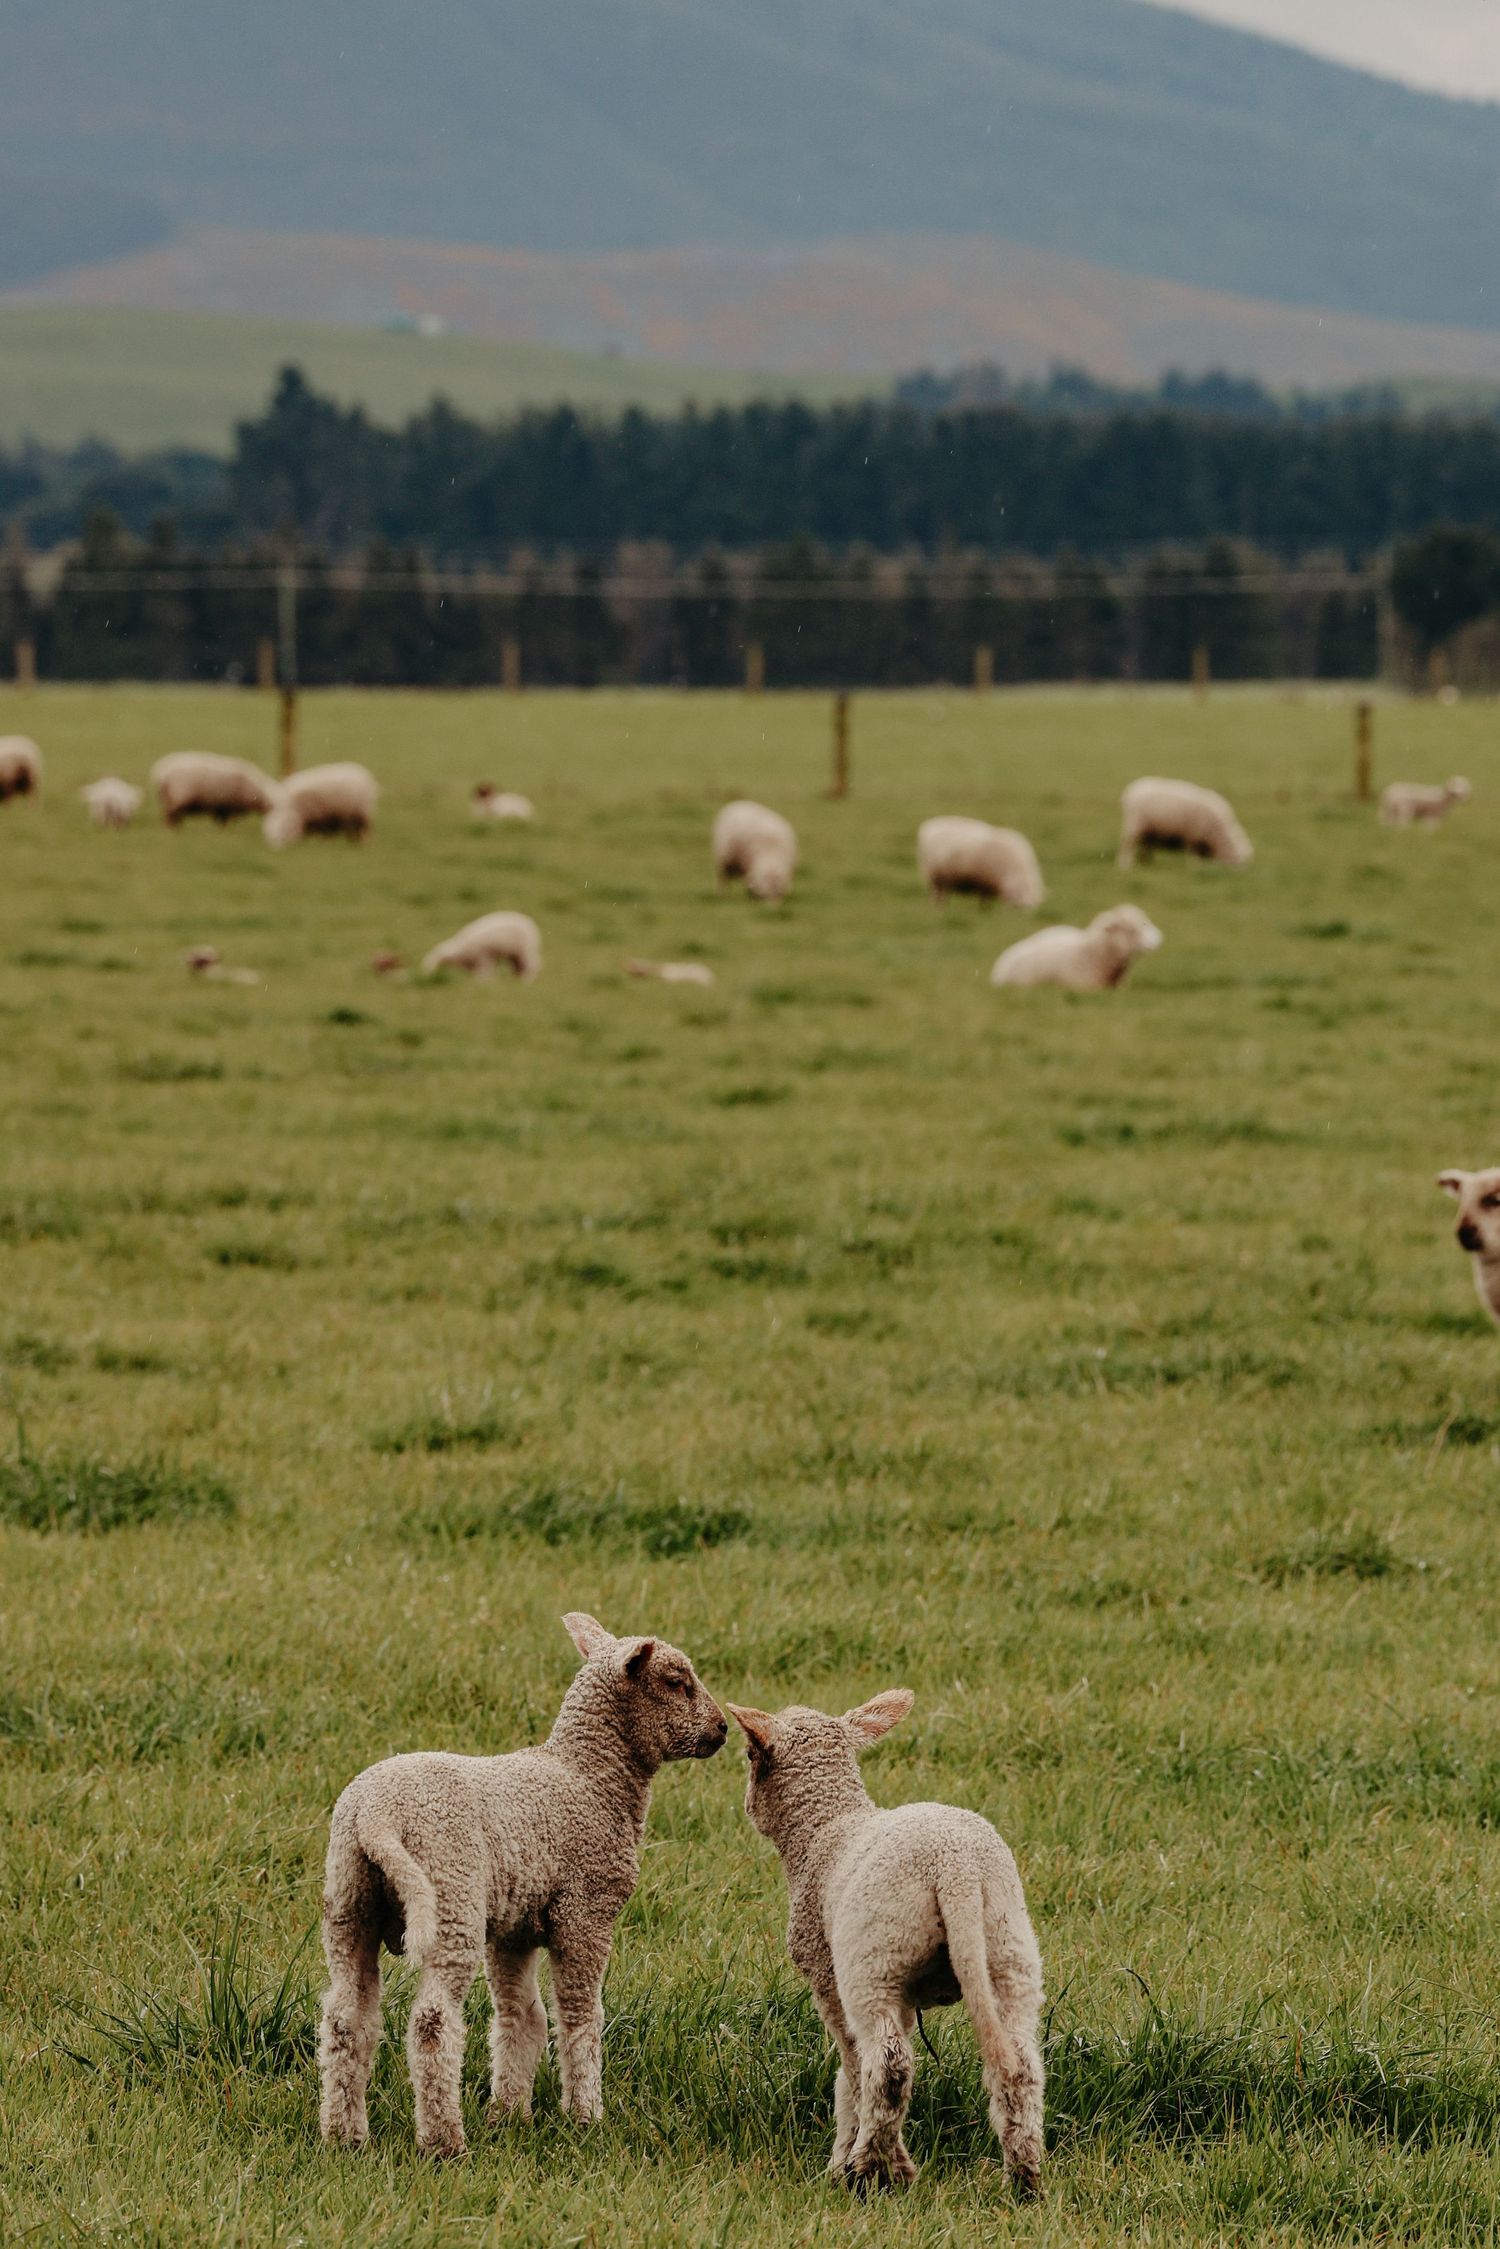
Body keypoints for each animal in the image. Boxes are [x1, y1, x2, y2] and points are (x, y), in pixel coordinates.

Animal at [150, 751, 279, 826]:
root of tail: (160, 772)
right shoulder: (228, 806)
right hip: (177, 798)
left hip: (168, 799)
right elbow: (225, 821)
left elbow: (220, 820)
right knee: (170, 816)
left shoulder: (221, 806)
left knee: (170, 816)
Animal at [318, 1612, 726, 2156]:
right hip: (451, 1898)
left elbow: (521, 2016)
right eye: (676, 1682)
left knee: (347, 2017)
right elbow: (579, 2016)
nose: (722, 1728)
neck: (589, 1777)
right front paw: (585, 2115)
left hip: (348, 1901)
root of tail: (376, 1816)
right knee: (432, 2021)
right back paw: (444, 2141)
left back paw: (344, 2135)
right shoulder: (585, 1912)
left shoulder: (514, 1929)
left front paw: (510, 2113)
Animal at [726, 1693, 1043, 2198]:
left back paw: (875, 2169)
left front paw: (844, 2159)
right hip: (1007, 1948)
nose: (747, 1806)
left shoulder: (826, 1974)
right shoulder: (906, 1994)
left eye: (750, 1754)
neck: (826, 1829)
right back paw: (1024, 2176)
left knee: (890, 2065)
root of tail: (955, 1867)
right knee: (1020, 2063)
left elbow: (851, 2073)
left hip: (873, 1956)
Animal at [916, 816, 1045, 908]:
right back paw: (939, 909)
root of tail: (928, 826)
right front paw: (984, 909)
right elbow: (985, 898)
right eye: (1020, 905)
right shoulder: (986, 881)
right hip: (935, 878)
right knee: (937, 896)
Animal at [1117, 777, 1252, 867]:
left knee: (1146, 847)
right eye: (1238, 860)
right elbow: (1193, 856)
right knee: (1127, 846)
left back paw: (1146, 863)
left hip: (1148, 831)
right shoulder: (1193, 838)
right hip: (1134, 827)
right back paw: (1125, 865)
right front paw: (1195, 867)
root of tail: (1131, 790)